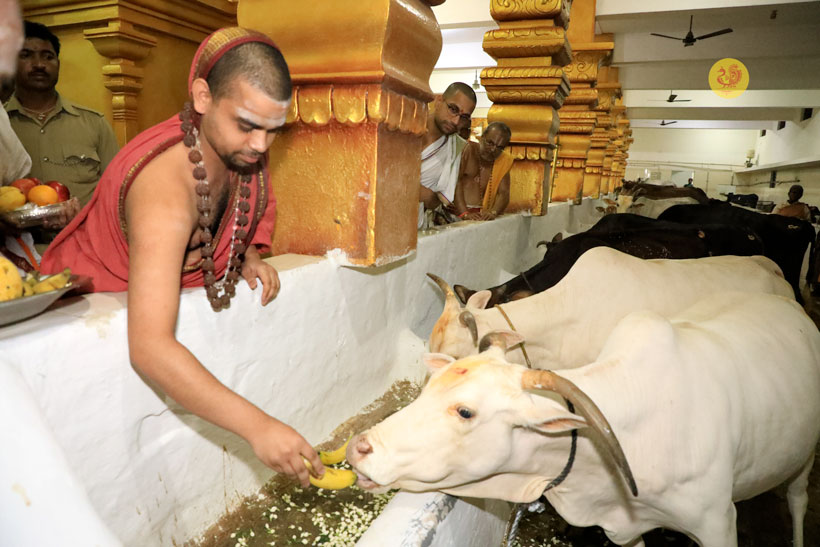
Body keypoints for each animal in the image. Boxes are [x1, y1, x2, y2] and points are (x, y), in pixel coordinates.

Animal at [348, 291, 820, 547]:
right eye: (430, 388)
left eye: (466, 411)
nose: (358, 447)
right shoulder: (624, 530)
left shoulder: (719, 522)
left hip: (804, 453)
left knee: (797, 499)